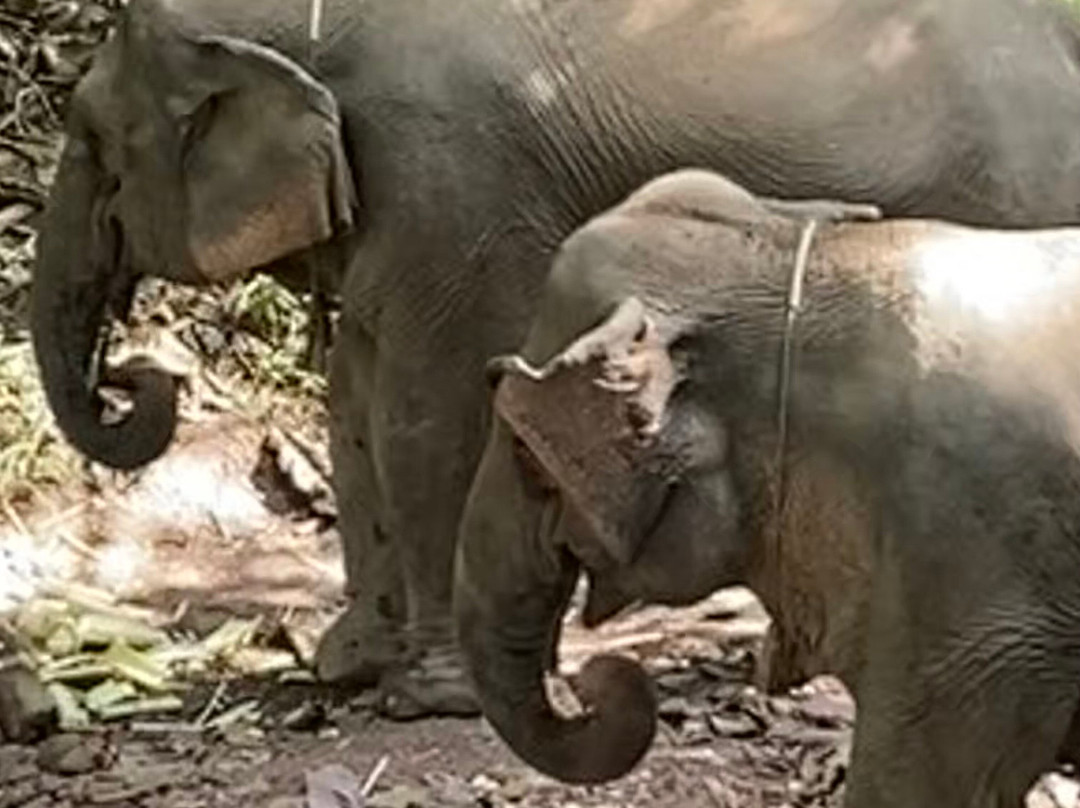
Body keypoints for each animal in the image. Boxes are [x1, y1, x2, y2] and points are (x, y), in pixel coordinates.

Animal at [31, 0, 1080, 717]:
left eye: (96, 146)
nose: (135, 375)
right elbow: (353, 401)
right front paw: (348, 666)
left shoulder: (449, 174)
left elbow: (425, 408)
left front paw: (428, 701)